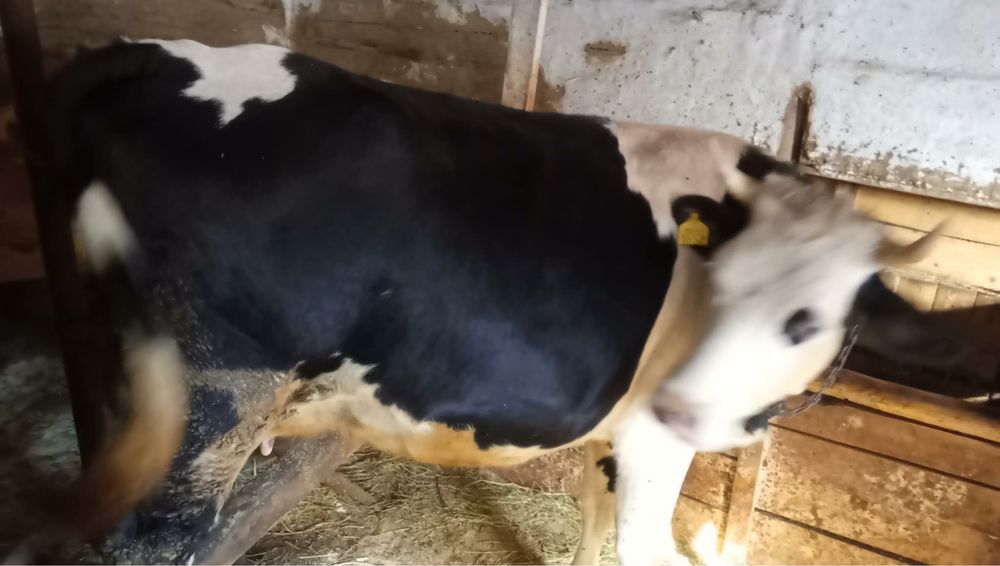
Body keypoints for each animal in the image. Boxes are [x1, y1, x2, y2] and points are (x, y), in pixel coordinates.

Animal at [39, 39, 960, 564]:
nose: (689, 404)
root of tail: (154, 51)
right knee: (161, 540)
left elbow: (595, 520)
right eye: (724, 288)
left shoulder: (618, 433)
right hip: (221, 386)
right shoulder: (653, 435)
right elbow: (640, 543)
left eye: (808, 318)